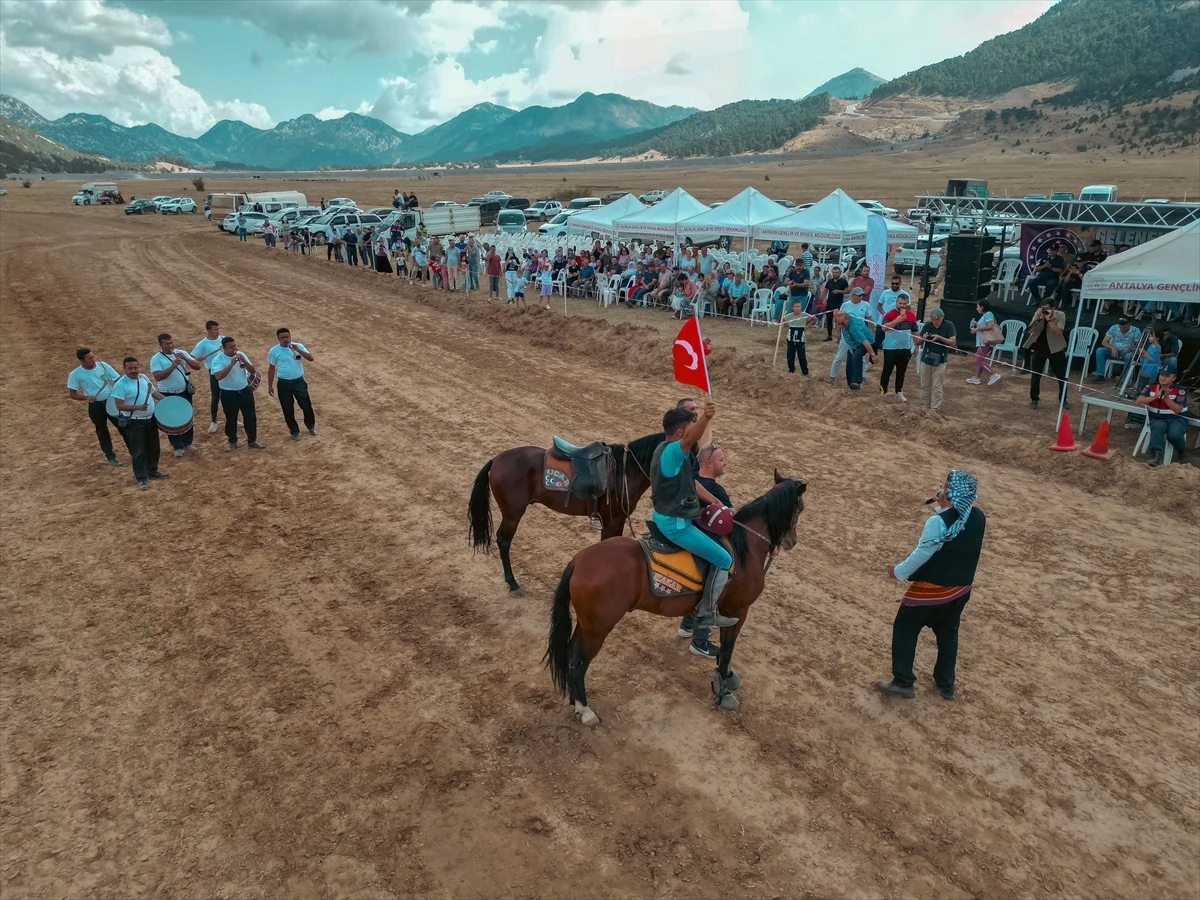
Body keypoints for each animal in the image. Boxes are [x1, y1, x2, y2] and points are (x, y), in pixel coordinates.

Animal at [465, 432, 662, 595]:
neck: (624, 471)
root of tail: (496, 460)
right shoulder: (610, 521)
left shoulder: (619, 520)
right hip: (513, 513)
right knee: (504, 541)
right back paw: (513, 584)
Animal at [544, 472, 806, 724]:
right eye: (800, 508)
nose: (793, 541)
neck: (745, 549)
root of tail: (578, 561)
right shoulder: (738, 612)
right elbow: (727, 650)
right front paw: (723, 691)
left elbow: (724, 649)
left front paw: (727, 678)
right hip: (598, 629)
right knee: (578, 662)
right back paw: (585, 710)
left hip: (587, 624)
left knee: (570, 655)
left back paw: (575, 702)